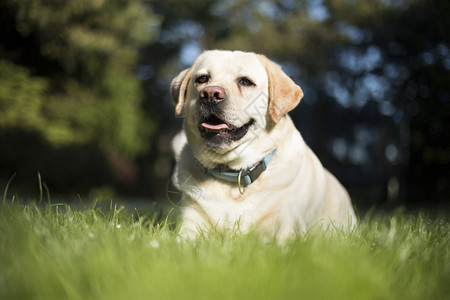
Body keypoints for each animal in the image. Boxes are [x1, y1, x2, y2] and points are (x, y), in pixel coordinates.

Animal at [171, 49, 356, 241]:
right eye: (202, 79)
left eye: (245, 81)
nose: (210, 94)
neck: (233, 173)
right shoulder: (190, 226)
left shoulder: (287, 229)